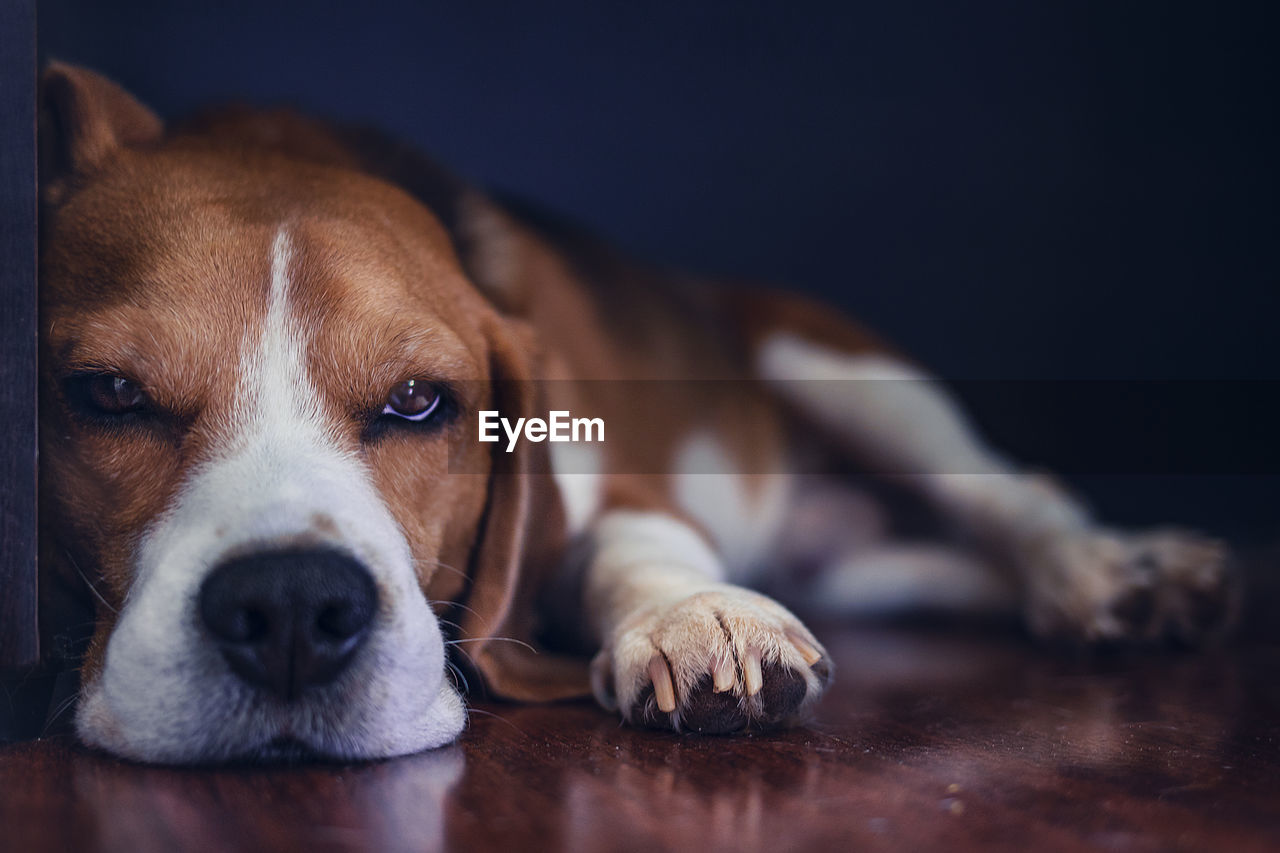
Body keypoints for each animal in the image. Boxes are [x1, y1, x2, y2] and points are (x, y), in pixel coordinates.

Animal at [40, 63, 1233, 758]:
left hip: (840, 366)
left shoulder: (613, 474)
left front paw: (697, 615)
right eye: (110, 394)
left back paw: (1109, 572)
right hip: (864, 568)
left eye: (418, 402)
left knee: (1019, 497)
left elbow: (635, 539)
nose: (291, 608)